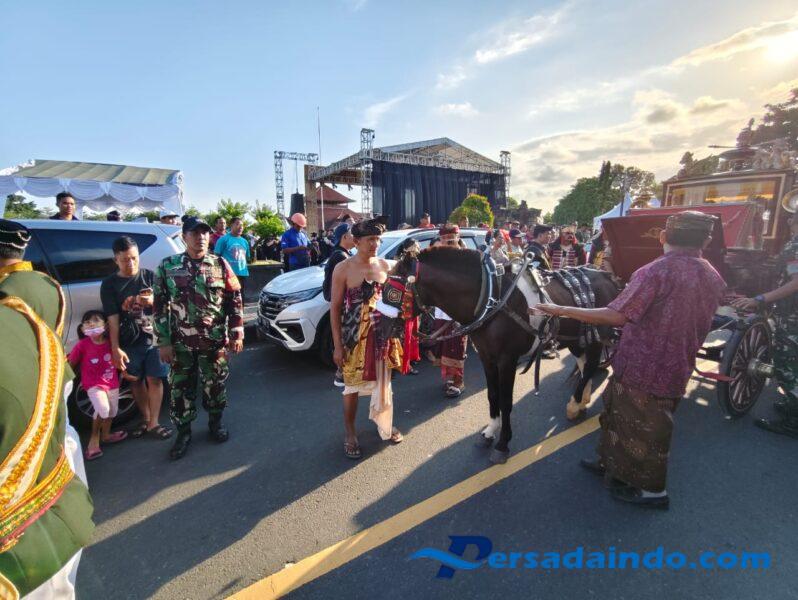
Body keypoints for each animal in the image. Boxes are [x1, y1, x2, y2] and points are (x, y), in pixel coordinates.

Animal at [394, 246, 620, 463]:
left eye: (392, 289)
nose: (388, 328)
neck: (490, 298)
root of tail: (607, 275)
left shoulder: (507, 359)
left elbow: (506, 400)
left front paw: (503, 443)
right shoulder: (486, 356)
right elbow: (492, 395)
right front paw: (489, 431)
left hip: (598, 336)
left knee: (590, 365)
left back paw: (574, 404)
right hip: (577, 338)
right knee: (583, 363)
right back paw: (582, 400)